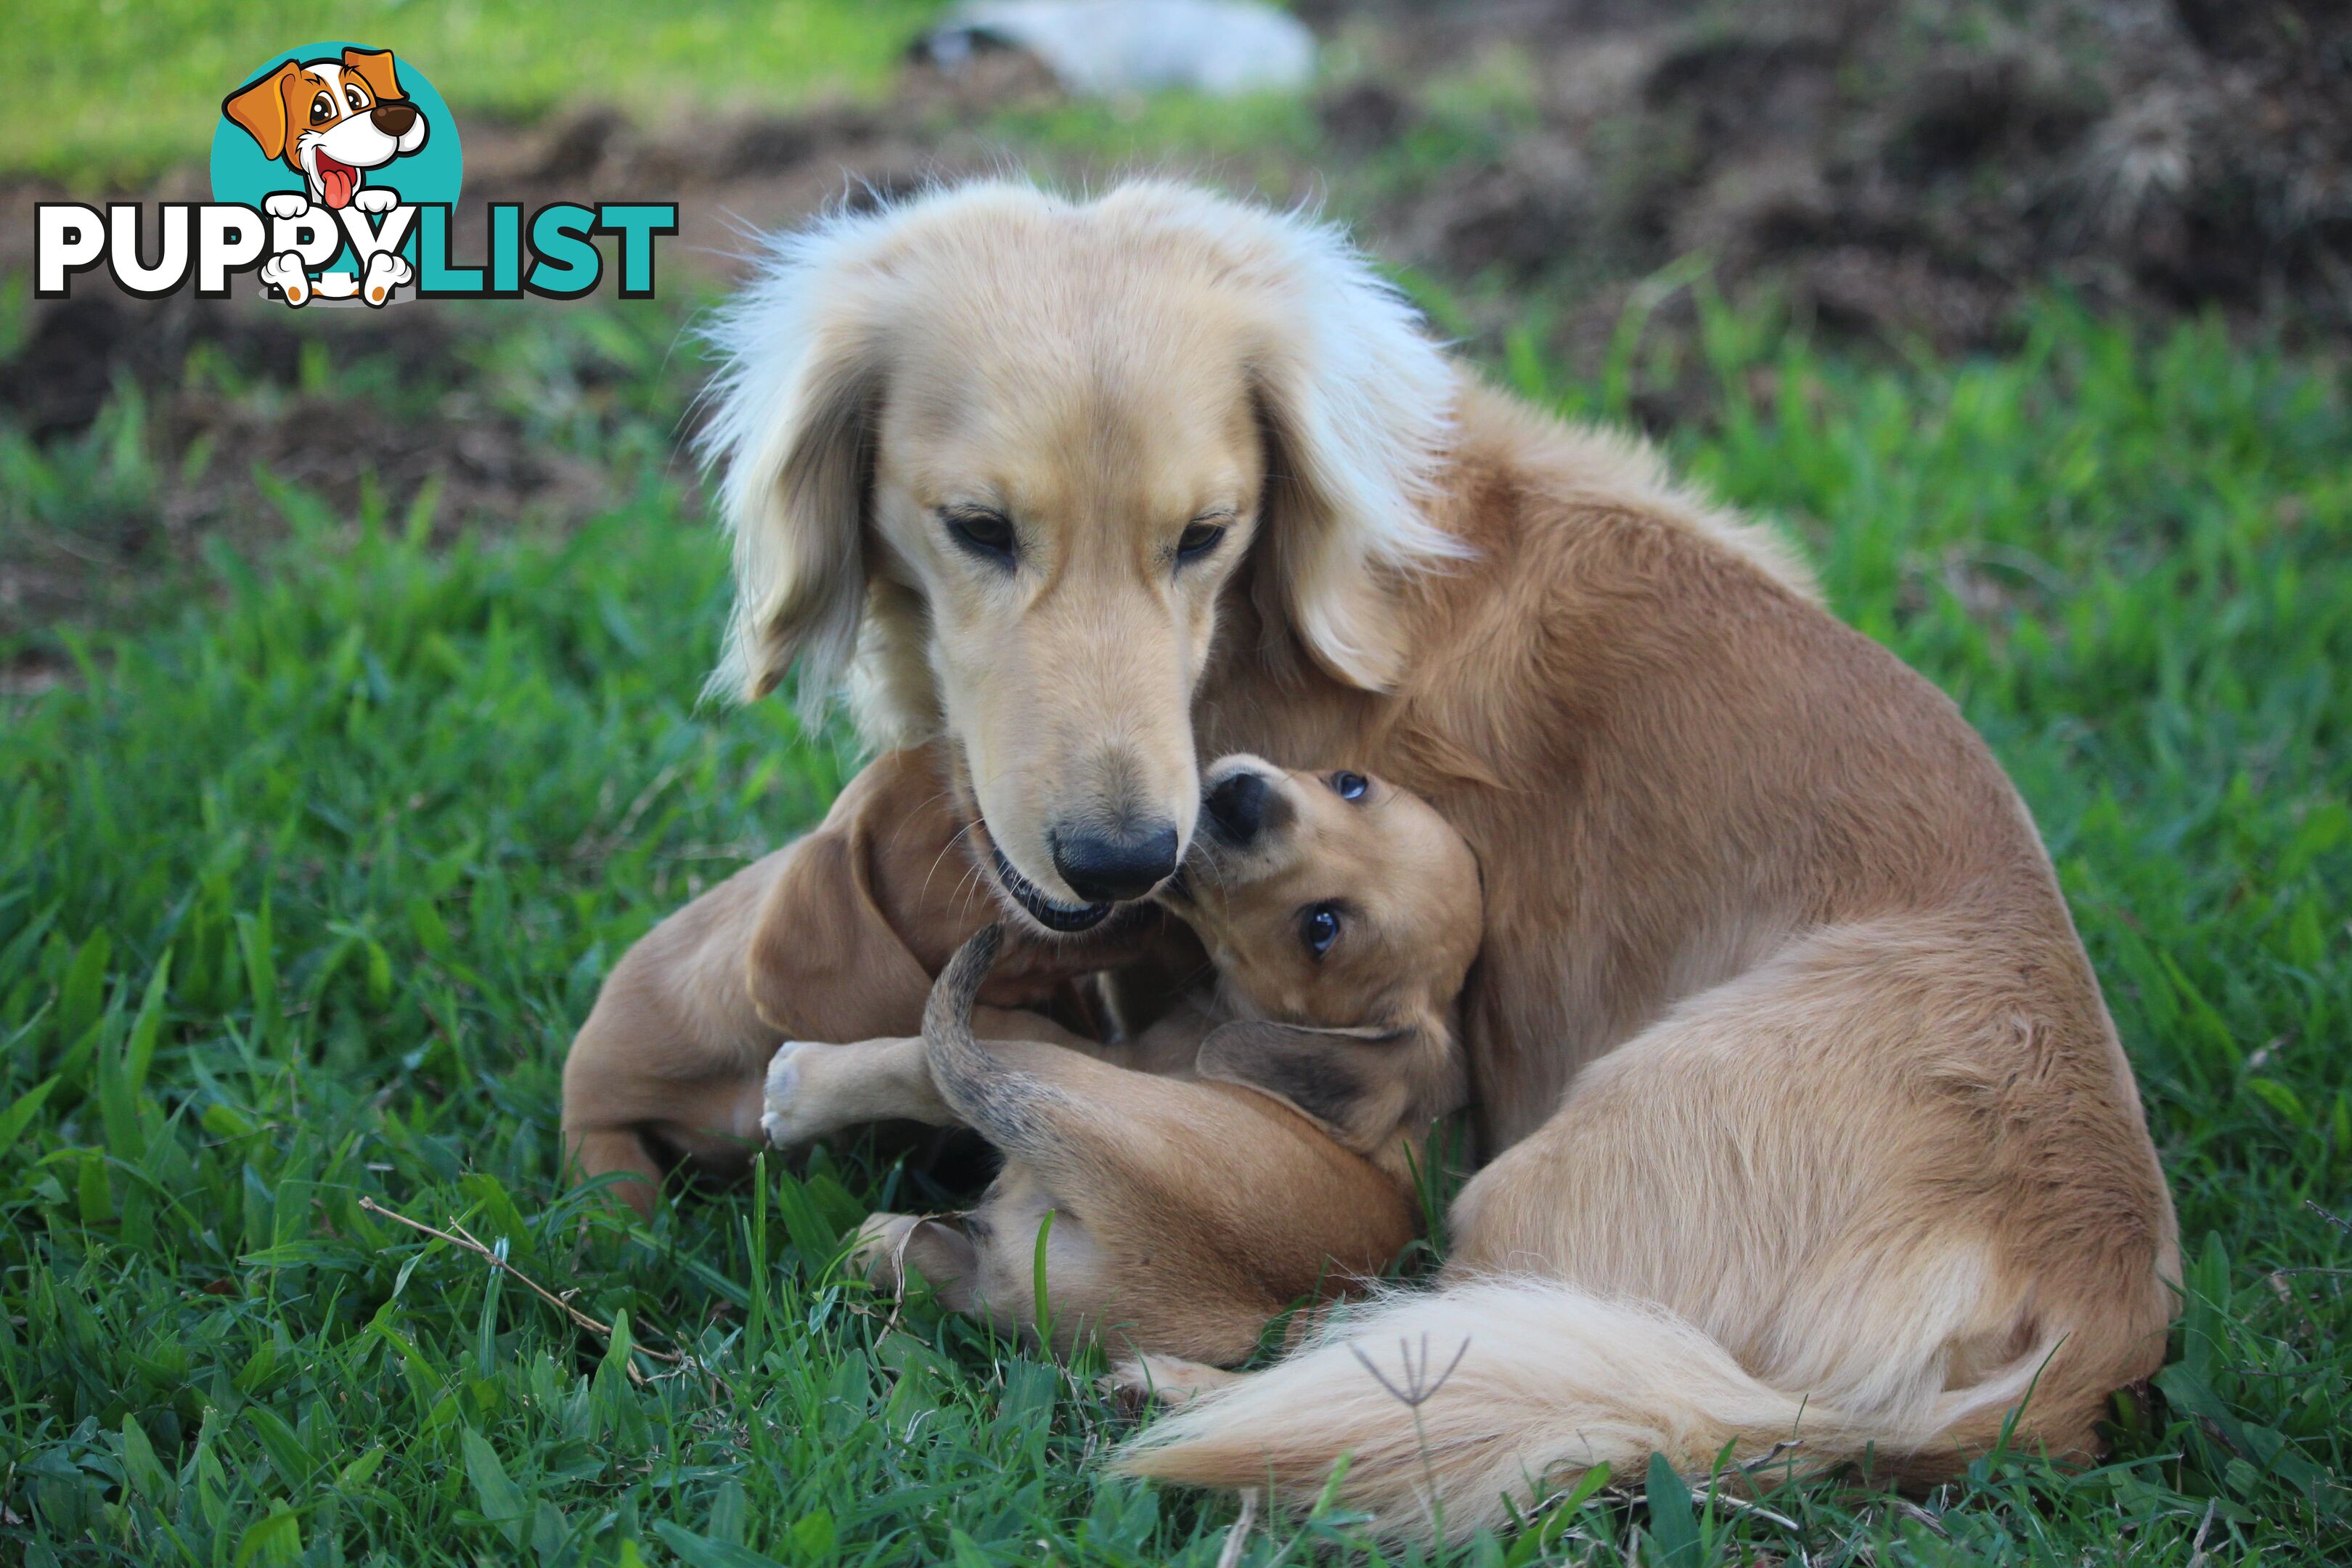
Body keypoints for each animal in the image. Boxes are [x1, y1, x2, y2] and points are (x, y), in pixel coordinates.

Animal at [761, 752, 1477, 1363]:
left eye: (1321, 929)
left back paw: (797, 1088)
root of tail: (1157, 1214)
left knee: (931, 1071)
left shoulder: (1118, 1050)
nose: (1243, 802)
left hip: (1066, 1082)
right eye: (1352, 783)